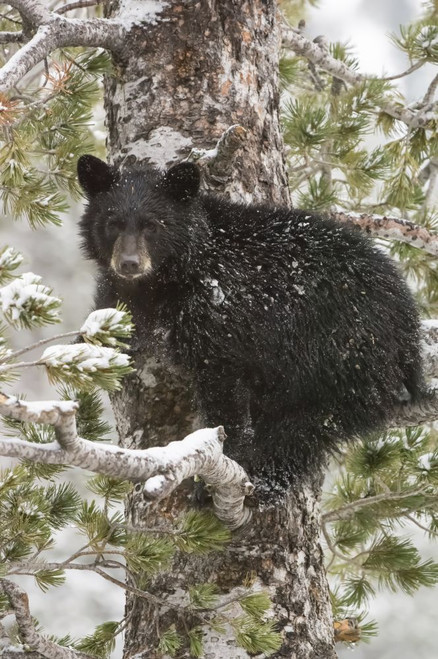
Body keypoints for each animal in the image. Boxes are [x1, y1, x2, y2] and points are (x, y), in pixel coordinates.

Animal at [77, 154, 424, 496]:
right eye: (112, 223)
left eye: (152, 225)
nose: (129, 263)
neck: (168, 278)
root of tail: (409, 323)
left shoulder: (220, 313)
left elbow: (223, 389)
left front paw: (218, 469)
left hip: (341, 357)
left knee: (302, 430)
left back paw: (263, 479)